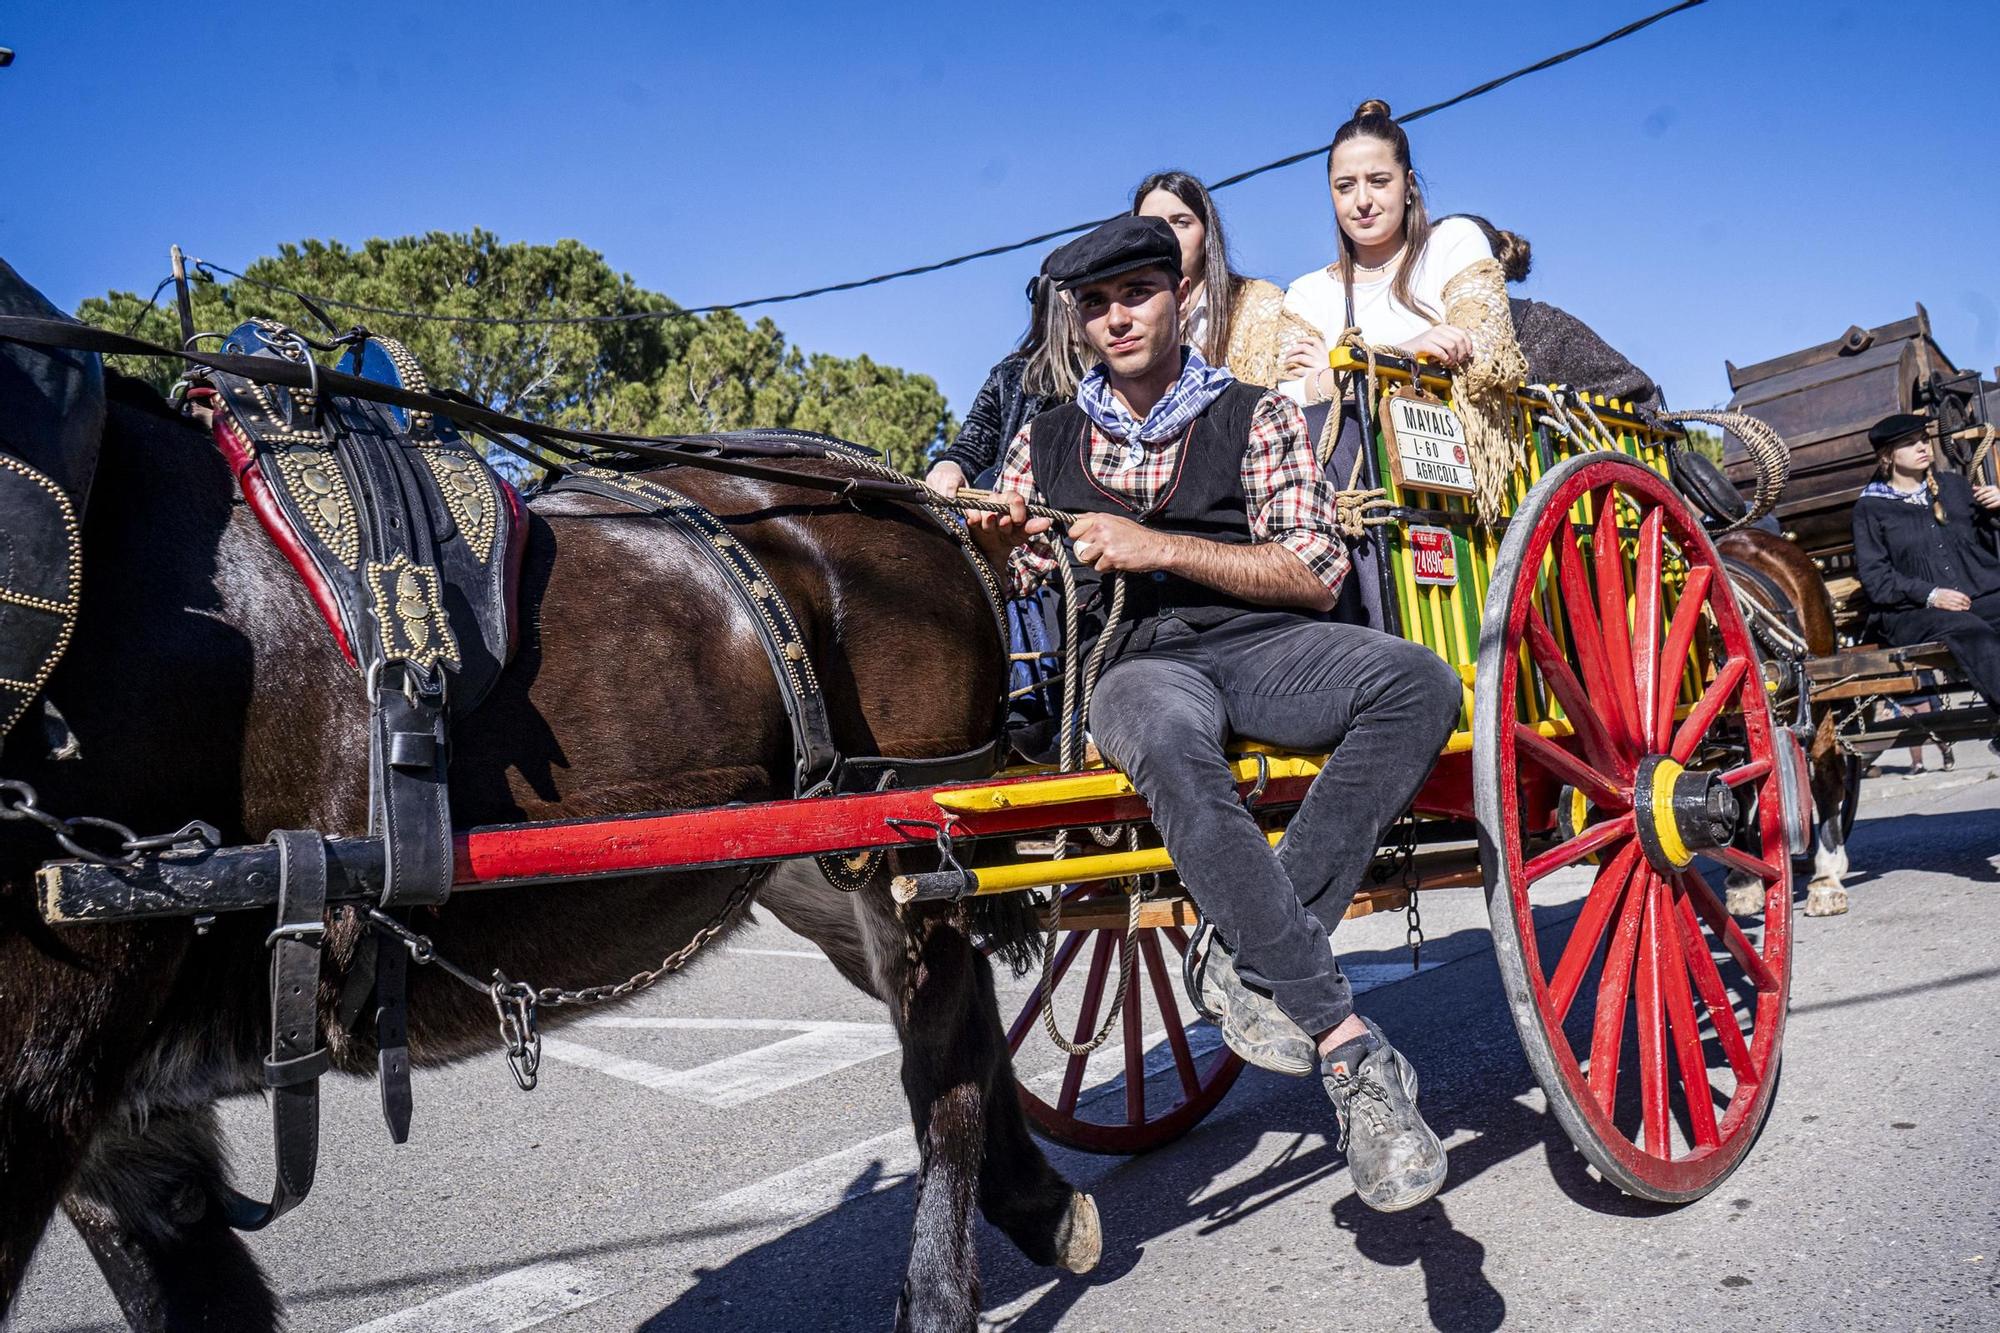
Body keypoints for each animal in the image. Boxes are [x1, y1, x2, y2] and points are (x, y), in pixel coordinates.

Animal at [0, 350, 1096, 1320]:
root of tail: (901, 492)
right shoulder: (110, 1112)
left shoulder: (46, 1063)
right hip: (824, 854)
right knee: (952, 1015)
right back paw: (1036, 1202)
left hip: (912, 823)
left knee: (942, 1056)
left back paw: (945, 1289)